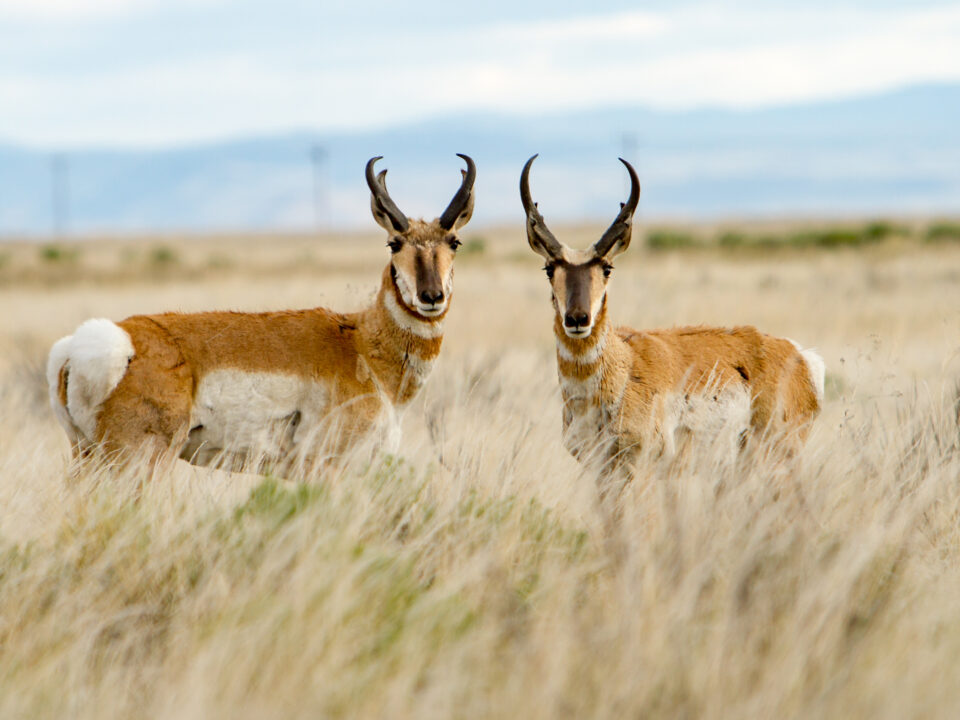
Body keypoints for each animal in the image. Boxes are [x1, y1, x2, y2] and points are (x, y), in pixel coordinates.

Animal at [47, 154, 476, 473]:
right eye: (394, 243)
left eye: (454, 242)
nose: (431, 295)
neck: (360, 344)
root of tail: (97, 343)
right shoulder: (329, 467)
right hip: (139, 461)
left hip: (86, 459)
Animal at [520, 155, 825, 490]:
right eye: (549, 268)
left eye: (607, 268)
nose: (577, 318)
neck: (623, 363)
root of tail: (800, 355)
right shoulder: (600, 469)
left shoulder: (639, 465)